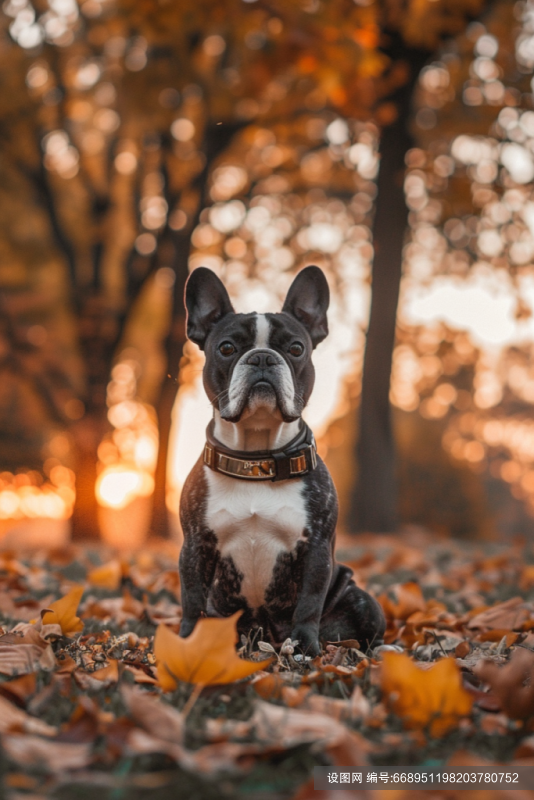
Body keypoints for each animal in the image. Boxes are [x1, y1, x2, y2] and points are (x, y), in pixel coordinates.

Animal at [179, 266, 386, 652]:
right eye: (226, 348)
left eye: (296, 348)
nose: (262, 357)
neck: (257, 459)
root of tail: (265, 635)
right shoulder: (196, 544)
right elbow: (192, 597)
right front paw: (186, 643)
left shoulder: (316, 548)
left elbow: (309, 602)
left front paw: (304, 647)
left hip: (361, 598)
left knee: (369, 628)